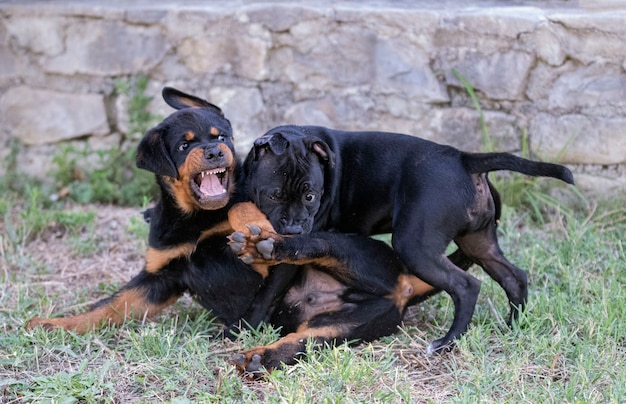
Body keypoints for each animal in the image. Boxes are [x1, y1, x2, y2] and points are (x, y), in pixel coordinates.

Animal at [241, 125, 572, 354]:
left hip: (414, 246)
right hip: (479, 243)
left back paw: (447, 342)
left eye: (311, 196)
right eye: (274, 195)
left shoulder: (288, 258)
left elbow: (270, 289)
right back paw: (512, 326)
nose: (294, 230)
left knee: (466, 286)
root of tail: (464, 160)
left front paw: (244, 328)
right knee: (514, 277)